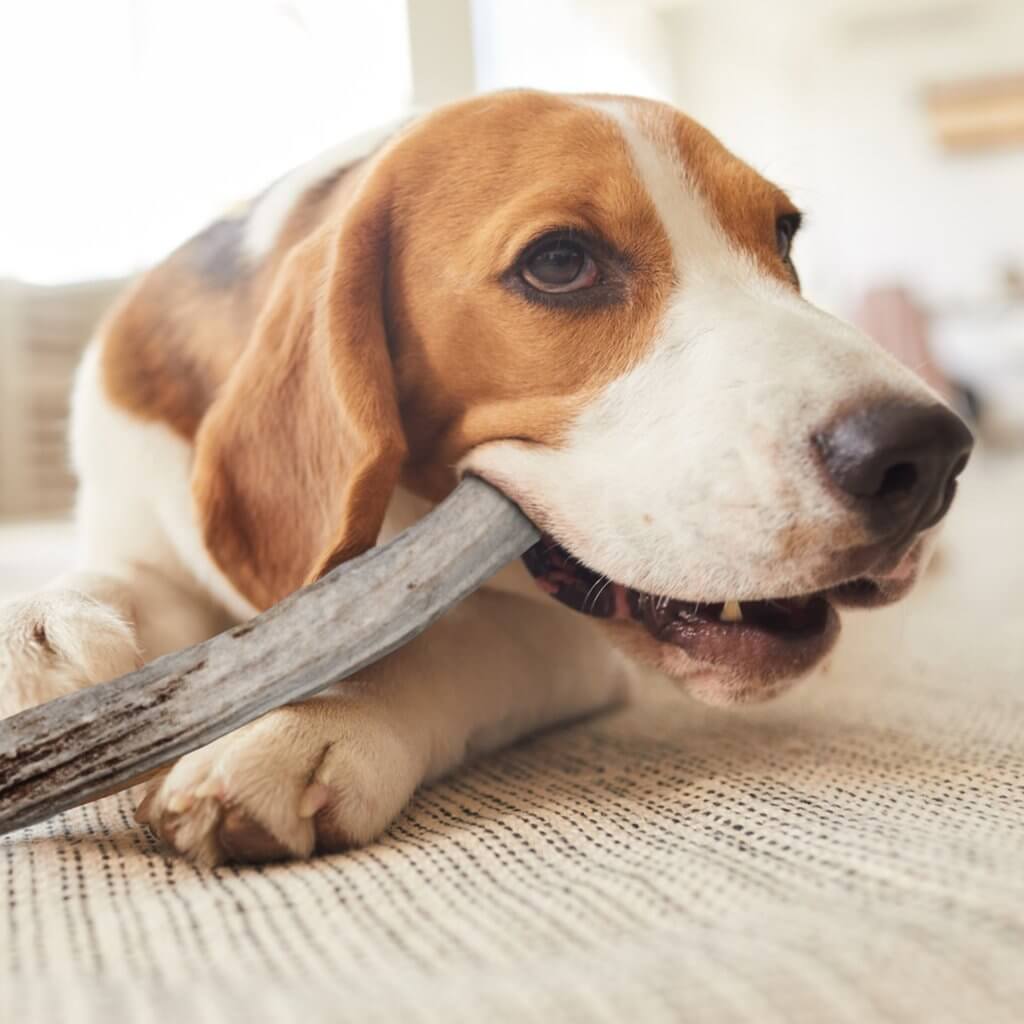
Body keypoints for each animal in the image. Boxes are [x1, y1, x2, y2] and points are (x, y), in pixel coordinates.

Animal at [0, 92, 970, 868]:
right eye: (560, 263)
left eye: (783, 234)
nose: (927, 456)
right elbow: (126, 588)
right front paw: (41, 635)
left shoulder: (565, 642)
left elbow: (452, 640)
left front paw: (306, 724)